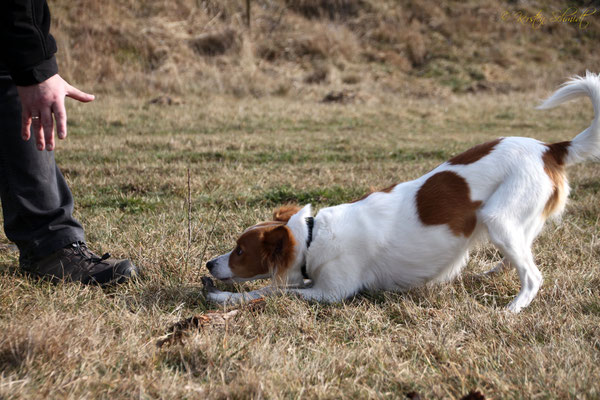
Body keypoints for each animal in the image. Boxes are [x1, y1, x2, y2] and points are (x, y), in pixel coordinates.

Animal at [205, 72, 600, 312]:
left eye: (240, 251)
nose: (209, 263)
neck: (314, 236)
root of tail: (549, 148)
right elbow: (272, 289)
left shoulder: (331, 292)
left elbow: (269, 290)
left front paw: (222, 296)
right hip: (513, 222)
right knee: (519, 255)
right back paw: (489, 274)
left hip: (498, 218)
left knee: (532, 276)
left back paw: (511, 309)